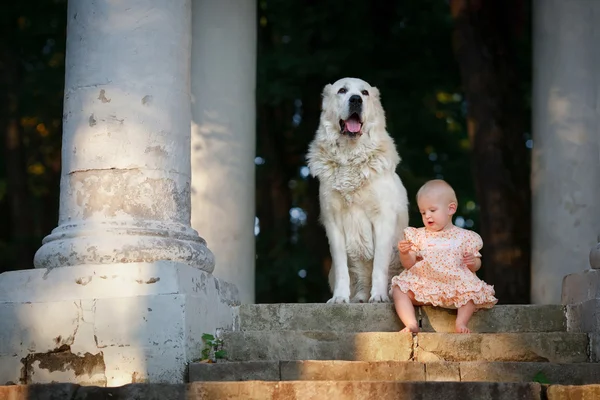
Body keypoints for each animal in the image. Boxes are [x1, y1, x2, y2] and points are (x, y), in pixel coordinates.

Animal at [308, 77, 410, 304]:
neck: (350, 158)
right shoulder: (333, 222)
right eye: (342, 91)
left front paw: (379, 296)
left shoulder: (383, 219)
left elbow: (379, 264)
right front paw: (339, 298)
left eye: (364, 93)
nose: (355, 100)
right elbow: (341, 267)